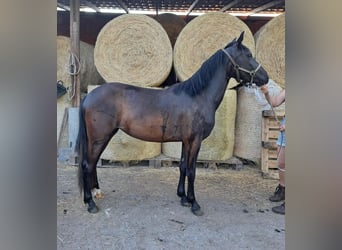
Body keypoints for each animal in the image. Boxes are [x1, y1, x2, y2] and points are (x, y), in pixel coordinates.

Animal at [77, 31, 270, 215]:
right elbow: (192, 171)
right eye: (249, 54)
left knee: (92, 163)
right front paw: (194, 203)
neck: (197, 96)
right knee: (88, 164)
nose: (266, 78)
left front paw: (183, 198)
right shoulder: (195, 141)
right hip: (99, 137)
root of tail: (89, 96)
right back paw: (90, 202)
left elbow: (183, 166)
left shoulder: (186, 140)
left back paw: (96, 192)